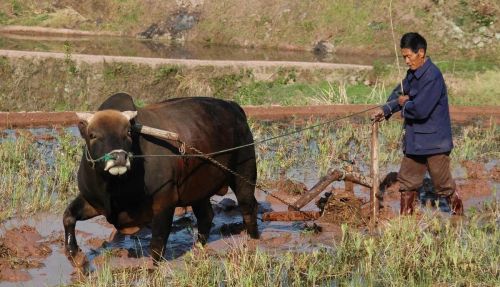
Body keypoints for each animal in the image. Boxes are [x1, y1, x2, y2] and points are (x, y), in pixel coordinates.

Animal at [62, 93, 258, 262]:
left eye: (127, 132)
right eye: (93, 135)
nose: (119, 158)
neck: (114, 187)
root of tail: (234, 106)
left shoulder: (164, 202)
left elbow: (157, 244)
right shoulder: (93, 201)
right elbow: (68, 216)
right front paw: (74, 254)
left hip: (244, 174)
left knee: (248, 207)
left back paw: (254, 241)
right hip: (198, 190)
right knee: (206, 216)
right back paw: (197, 248)